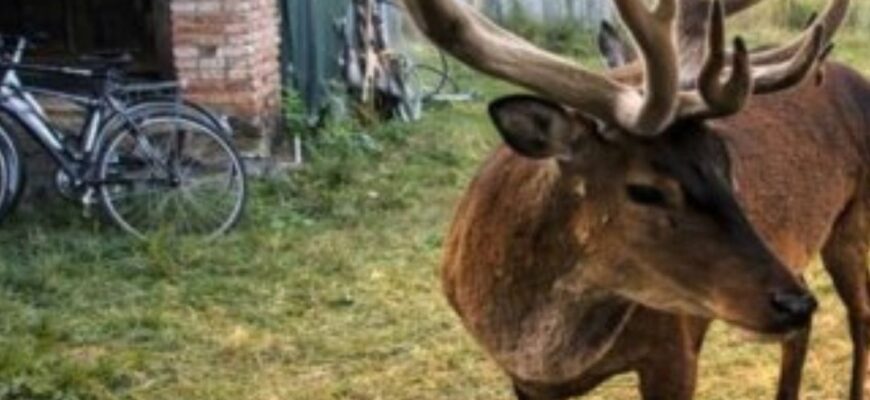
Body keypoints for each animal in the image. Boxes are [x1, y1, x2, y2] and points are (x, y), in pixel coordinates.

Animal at [399, 0, 868, 399]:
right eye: (645, 189)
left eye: (726, 163)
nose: (794, 304)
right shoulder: (522, 380)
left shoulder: (675, 347)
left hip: (852, 221)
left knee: (860, 315)